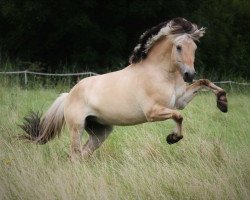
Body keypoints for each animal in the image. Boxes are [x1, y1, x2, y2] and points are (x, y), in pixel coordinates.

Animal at [20, 17, 229, 161]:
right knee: (75, 155)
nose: (189, 74)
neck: (161, 73)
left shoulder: (180, 101)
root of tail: (69, 94)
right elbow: (179, 116)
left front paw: (223, 103)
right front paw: (173, 138)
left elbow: (204, 83)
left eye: (194, 48)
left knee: (83, 155)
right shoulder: (153, 112)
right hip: (76, 128)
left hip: (100, 132)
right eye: (178, 47)